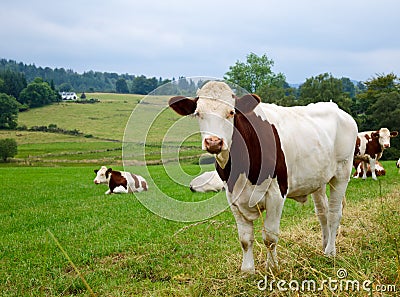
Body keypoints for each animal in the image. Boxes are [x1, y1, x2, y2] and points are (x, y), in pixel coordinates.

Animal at [168, 80, 356, 272]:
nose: (214, 142)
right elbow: (245, 238)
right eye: (198, 113)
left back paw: (330, 252)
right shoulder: (232, 196)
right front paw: (247, 270)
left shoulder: (276, 194)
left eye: (231, 112)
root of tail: (335, 107)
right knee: (322, 213)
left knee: (334, 214)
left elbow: (270, 237)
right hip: (318, 179)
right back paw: (324, 246)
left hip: (342, 173)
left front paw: (272, 267)